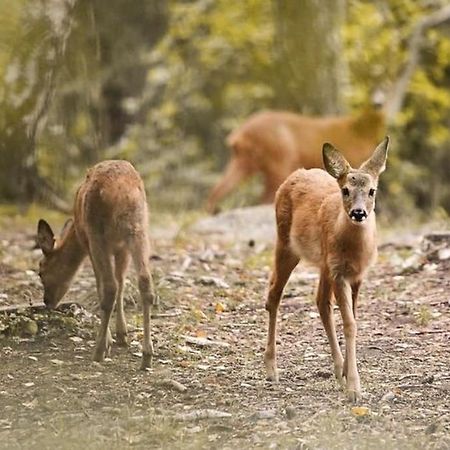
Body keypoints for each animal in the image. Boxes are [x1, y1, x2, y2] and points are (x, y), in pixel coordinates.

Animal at [37, 160, 156, 368]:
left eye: (41, 270)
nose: (47, 301)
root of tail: (121, 191)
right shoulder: (121, 248)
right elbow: (122, 281)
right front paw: (122, 334)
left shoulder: (89, 244)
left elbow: (102, 284)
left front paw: (109, 340)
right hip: (138, 228)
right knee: (144, 280)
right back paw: (147, 356)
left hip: (97, 233)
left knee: (109, 287)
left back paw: (99, 351)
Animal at [266, 136, 388, 400]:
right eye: (345, 190)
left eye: (372, 190)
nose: (359, 213)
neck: (353, 249)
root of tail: (294, 175)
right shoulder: (339, 273)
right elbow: (349, 323)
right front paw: (354, 388)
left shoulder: (357, 275)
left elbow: (352, 319)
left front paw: (348, 377)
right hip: (286, 244)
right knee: (273, 295)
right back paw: (271, 369)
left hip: (323, 263)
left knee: (321, 302)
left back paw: (337, 370)